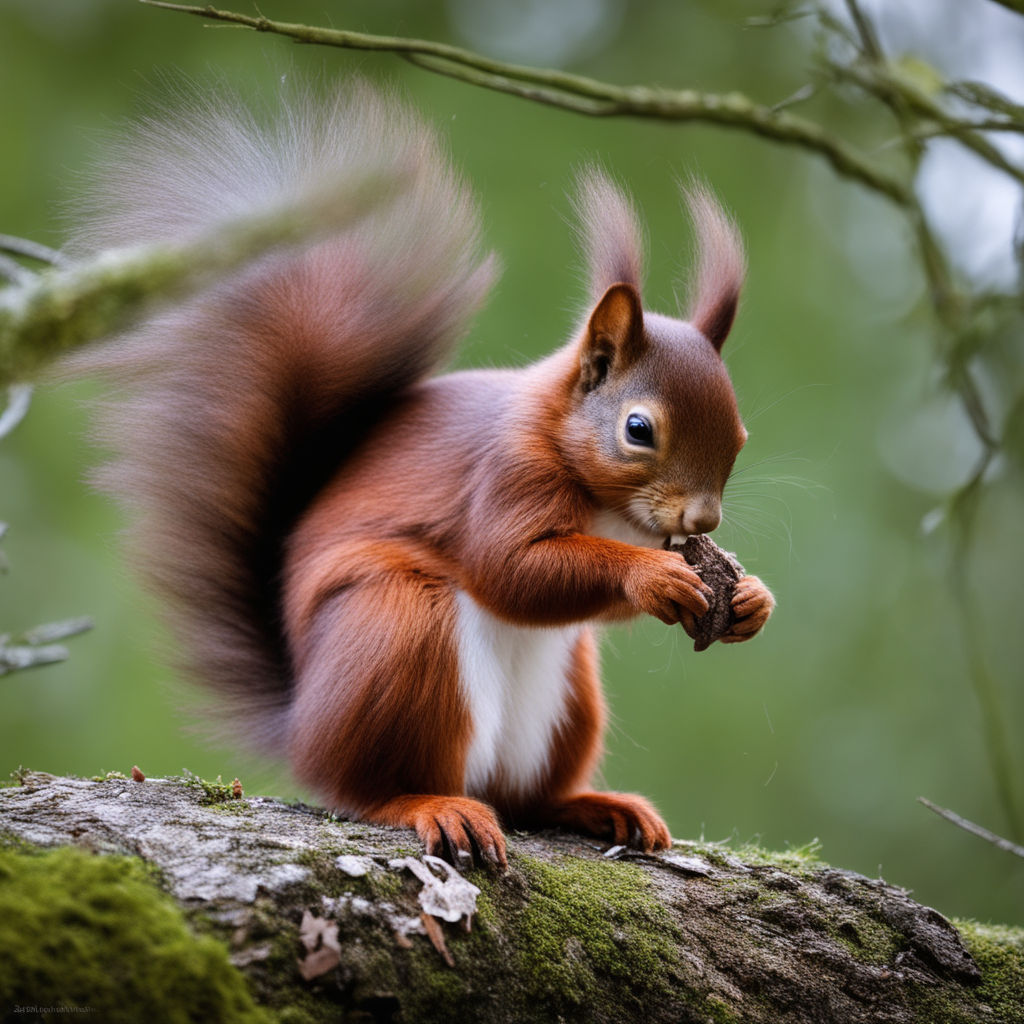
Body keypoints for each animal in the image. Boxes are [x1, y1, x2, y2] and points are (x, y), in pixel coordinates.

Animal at [72, 79, 770, 868]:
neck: (609, 507)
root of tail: (302, 725)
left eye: (740, 436)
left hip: (569, 697)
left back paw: (595, 806)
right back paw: (431, 804)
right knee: (369, 788)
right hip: (400, 629)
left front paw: (751, 599)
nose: (703, 521)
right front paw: (654, 577)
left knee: (529, 798)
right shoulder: (504, 476)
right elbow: (510, 569)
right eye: (639, 429)